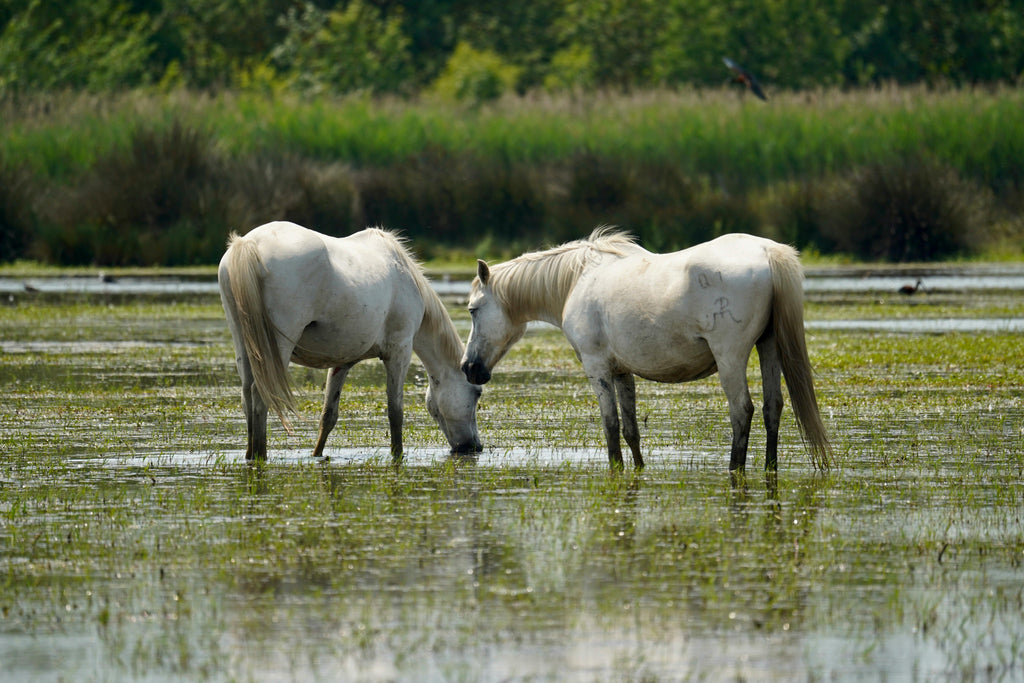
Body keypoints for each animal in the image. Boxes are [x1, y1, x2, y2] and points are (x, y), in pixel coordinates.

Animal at [218, 221, 482, 461]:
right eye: (476, 393)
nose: (475, 447)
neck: (402, 273)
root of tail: (249, 243)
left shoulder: (341, 363)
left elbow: (328, 416)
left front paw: (317, 455)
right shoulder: (400, 352)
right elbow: (395, 413)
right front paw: (397, 455)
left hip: (244, 347)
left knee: (247, 396)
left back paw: (250, 455)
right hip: (277, 349)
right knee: (260, 397)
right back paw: (260, 456)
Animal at [460, 228, 832, 473]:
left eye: (473, 310)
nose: (468, 367)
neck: (577, 280)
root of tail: (767, 251)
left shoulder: (597, 367)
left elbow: (610, 426)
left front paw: (617, 471)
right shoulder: (622, 371)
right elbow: (630, 430)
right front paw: (638, 469)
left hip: (731, 357)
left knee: (742, 411)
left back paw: (734, 469)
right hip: (769, 347)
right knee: (772, 409)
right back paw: (770, 468)